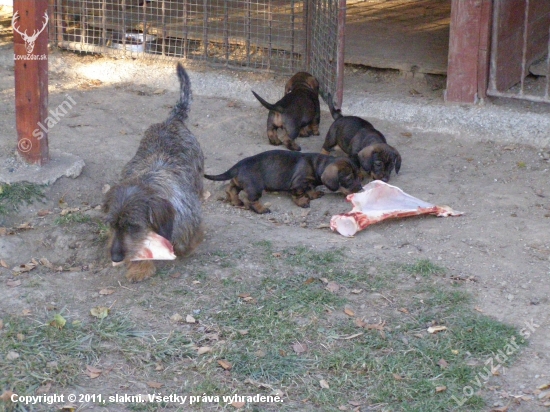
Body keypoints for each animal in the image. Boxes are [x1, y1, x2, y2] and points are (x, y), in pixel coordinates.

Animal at [205, 150, 364, 214]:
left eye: (359, 176)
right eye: (349, 179)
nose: (361, 189)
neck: (317, 165)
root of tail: (237, 166)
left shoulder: (309, 182)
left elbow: (310, 188)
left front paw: (314, 194)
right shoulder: (298, 183)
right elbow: (299, 194)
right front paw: (303, 202)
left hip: (238, 182)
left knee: (231, 189)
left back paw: (235, 201)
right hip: (255, 187)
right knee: (251, 201)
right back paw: (261, 209)